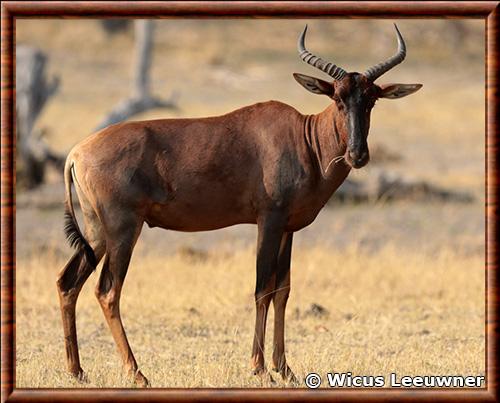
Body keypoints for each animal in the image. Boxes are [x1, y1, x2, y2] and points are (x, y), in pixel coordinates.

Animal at [55, 22, 422, 388]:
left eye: (371, 99)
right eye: (338, 98)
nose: (358, 155)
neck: (303, 138)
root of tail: (76, 153)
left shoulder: (288, 228)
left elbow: (282, 289)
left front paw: (284, 368)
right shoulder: (268, 220)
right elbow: (262, 288)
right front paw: (259, 368)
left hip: (97, 233)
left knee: (68, 282)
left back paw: (77, 371)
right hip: (123, 229)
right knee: (108, 291)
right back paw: (137, 373)